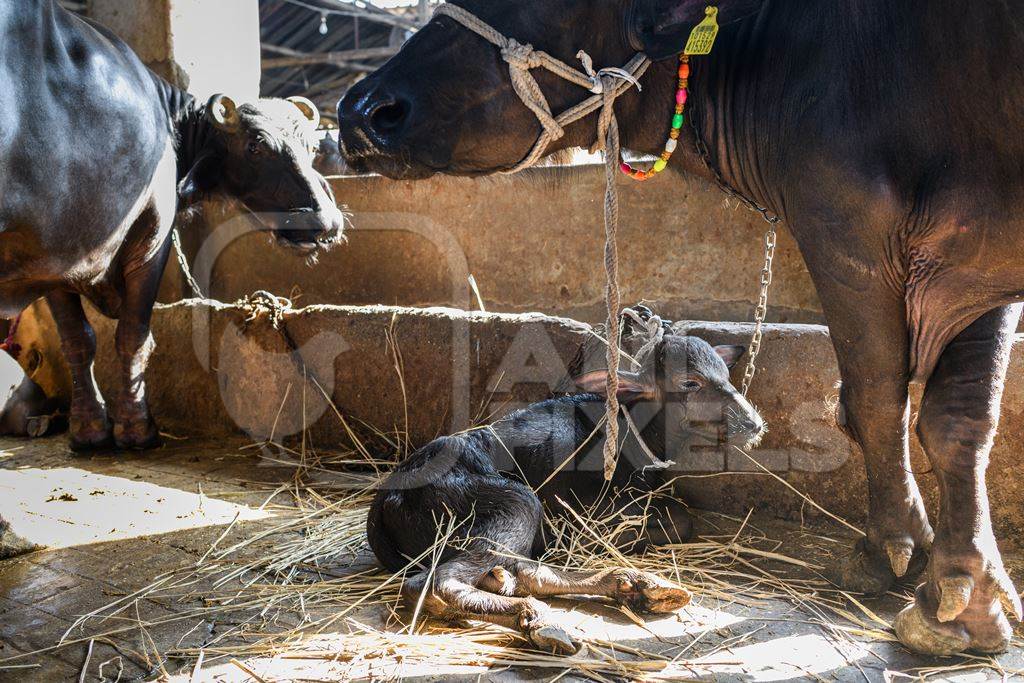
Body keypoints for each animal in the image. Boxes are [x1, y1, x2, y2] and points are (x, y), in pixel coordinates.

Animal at [0, 1, 346, 454]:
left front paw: (88, 429)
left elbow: (78, 340)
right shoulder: (149, 240)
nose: (325, 221)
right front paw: (136, 429)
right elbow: (131, 336)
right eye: (255, 146)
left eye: (309, 147)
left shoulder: (55, 263)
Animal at [366, 309, 761, 651]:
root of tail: (385, 497)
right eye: (690, 383)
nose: (754, 422)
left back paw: (629, 586)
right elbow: (680, 518)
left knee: (522, 569)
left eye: (726, 376)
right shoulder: (596, 507)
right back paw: (537, 617)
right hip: (516, 502)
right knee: (433, 583)